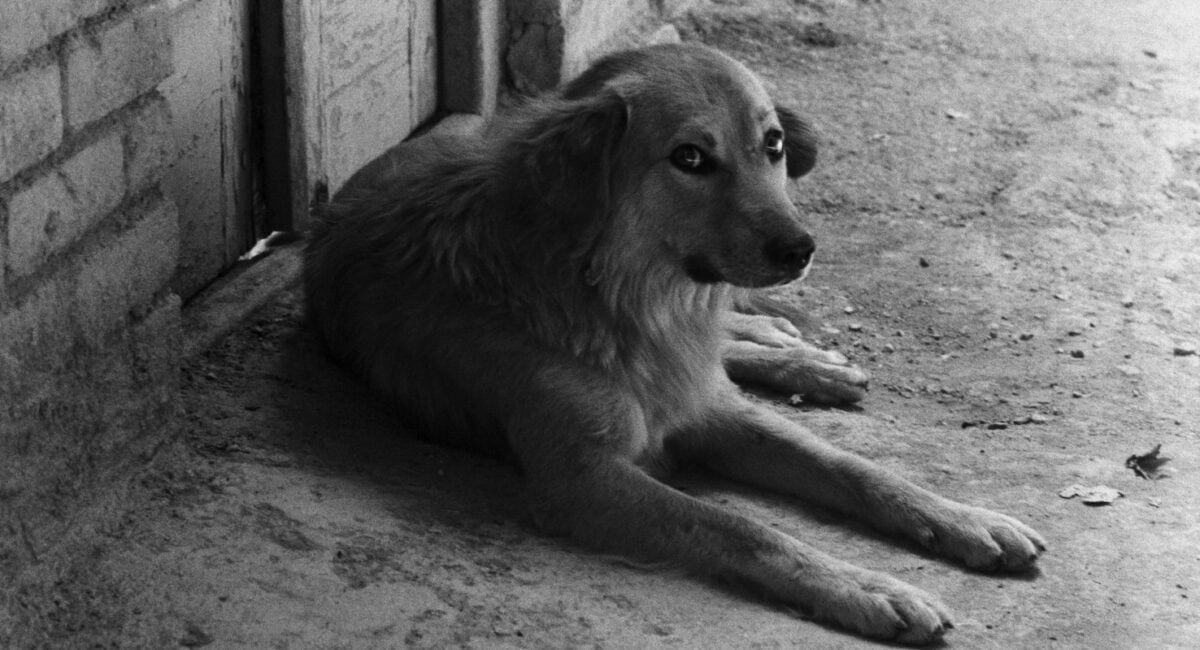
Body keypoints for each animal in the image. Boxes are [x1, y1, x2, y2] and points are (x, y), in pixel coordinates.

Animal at [304, 43, 1046, 642]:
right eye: (690, 157)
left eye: (774, 144)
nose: (801, 249)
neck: (625, 301)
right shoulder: (582, 476)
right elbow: (741, 527)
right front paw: (868, 587)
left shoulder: (711, 409)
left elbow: (854, 468)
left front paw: (959, 517)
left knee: (733, 352)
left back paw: (804, 359)